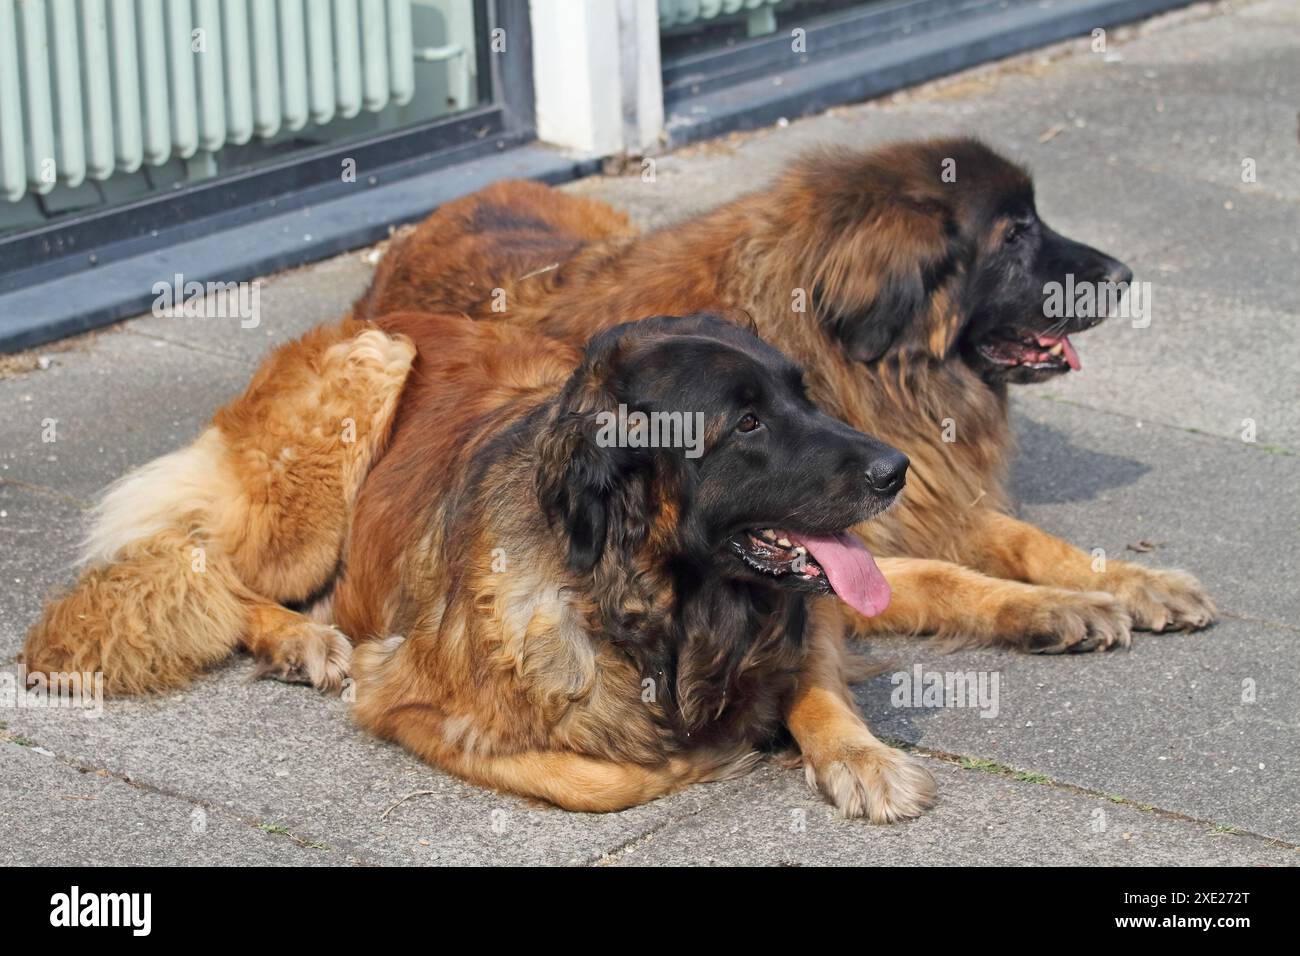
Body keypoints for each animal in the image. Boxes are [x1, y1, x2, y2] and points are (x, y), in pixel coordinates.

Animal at [358, 136, 1216, 658]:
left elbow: (1037, 541)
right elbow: (946, 576)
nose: (1123, 276)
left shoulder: (930, 495)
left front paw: (1137, 581)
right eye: (1014, 234)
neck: (865, 367)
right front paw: (1054, 608)